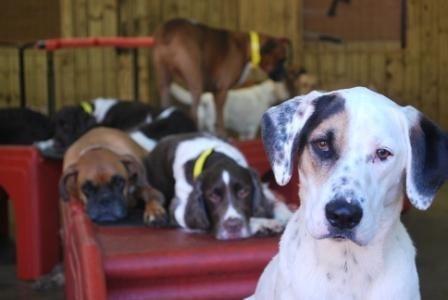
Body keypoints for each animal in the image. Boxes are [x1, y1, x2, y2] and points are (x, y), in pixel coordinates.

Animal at [144, 133, 294, 239]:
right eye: (213, 196)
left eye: (243, 192)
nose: (233, 226)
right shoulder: (180, 209)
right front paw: (264, 223)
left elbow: (275, 203)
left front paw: (288, 215)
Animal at [152, 17, 288, 132]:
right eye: (281, 59)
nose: (283, 77)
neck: (246, 46)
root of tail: (170, 28)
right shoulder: (222, 90)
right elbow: (220, 121)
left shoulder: (215, 92)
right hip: (195, 82)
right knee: (193, 113)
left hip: (164, 81)